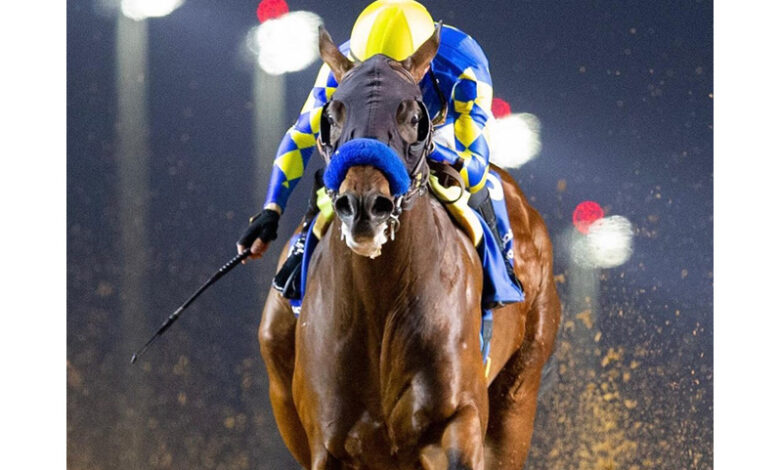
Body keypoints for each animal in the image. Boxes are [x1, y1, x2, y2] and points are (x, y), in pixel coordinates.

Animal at [257, 24, 561, 470]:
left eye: (415, 118)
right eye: (331, 118)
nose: (364, 205)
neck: (379, 302)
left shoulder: (458, 418)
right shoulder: (329, 444)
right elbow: (295, 134)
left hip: (519, 394)